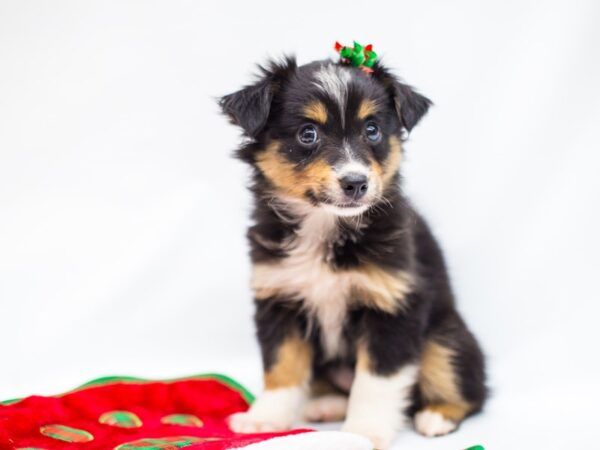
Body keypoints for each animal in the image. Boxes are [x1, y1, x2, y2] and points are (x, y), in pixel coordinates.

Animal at [221, 57, 488, 450]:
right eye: (308, 134)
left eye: (372, 130)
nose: (356, 182)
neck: (326, 225)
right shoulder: (279, 299)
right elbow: (281, 367)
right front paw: (264, 419)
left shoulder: (392, 307)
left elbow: (375, 381)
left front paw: (364, 432)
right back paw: (327, 404)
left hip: (446, 337)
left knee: (469, 389)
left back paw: (436, 416)